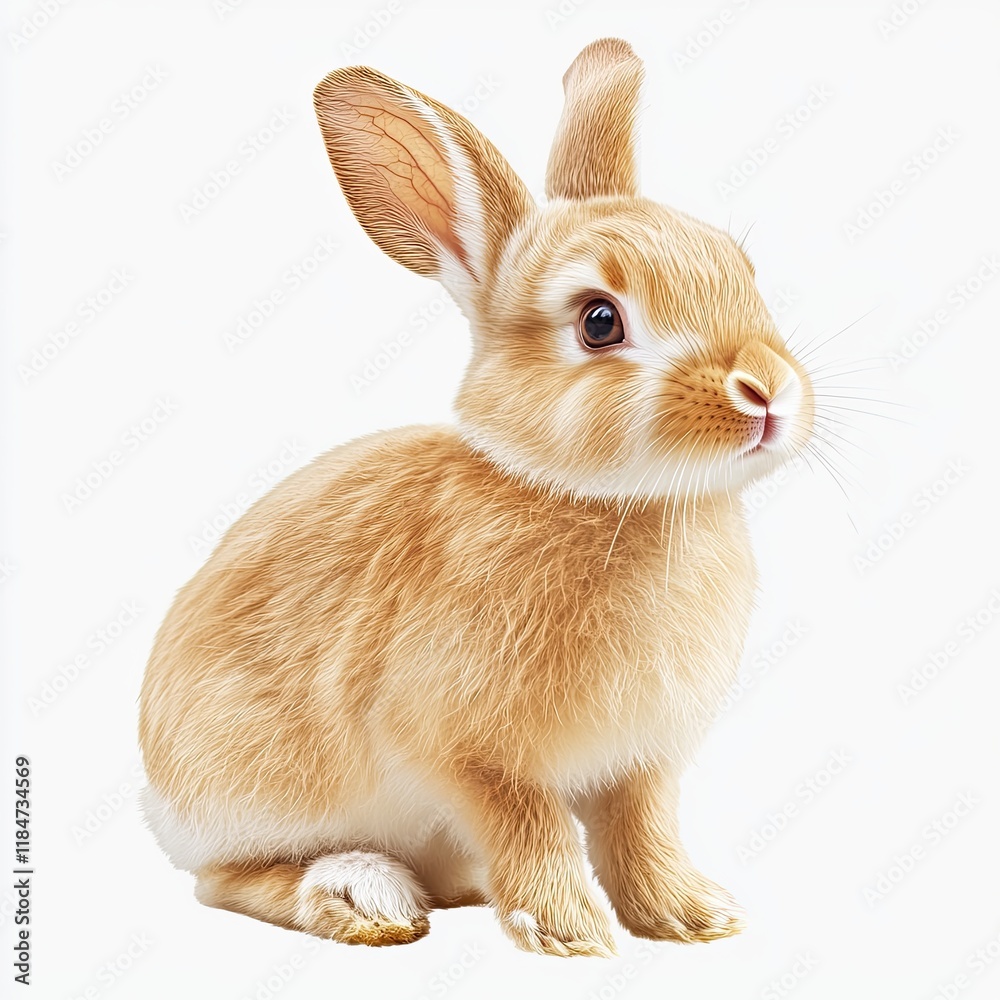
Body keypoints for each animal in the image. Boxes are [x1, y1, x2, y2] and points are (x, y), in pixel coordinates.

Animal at [138, 37, 814, 958]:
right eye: (599, 321)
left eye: (741, 270)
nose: (767, 392)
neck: (613, 502)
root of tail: (156, 790)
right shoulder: (470, 756)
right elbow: (531, 826)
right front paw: (568, 932)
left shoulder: (641, 764)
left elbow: (640, 834)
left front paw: (692, 918)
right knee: (226, 880)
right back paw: (364, 895)